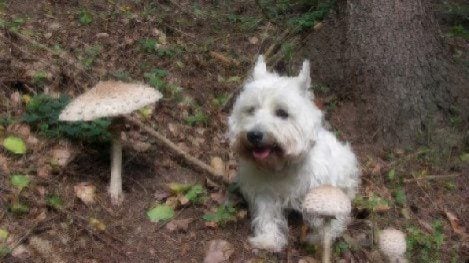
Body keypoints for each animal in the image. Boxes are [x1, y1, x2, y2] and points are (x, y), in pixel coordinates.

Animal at [227, 56, 358, 254]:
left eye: (282, 113)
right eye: (251, 110)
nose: (254, 135)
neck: (281, 166)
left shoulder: (319, 188)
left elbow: (325, 217)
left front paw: (320, 238)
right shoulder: (264, 192)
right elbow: (266, 216)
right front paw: (268, 240)